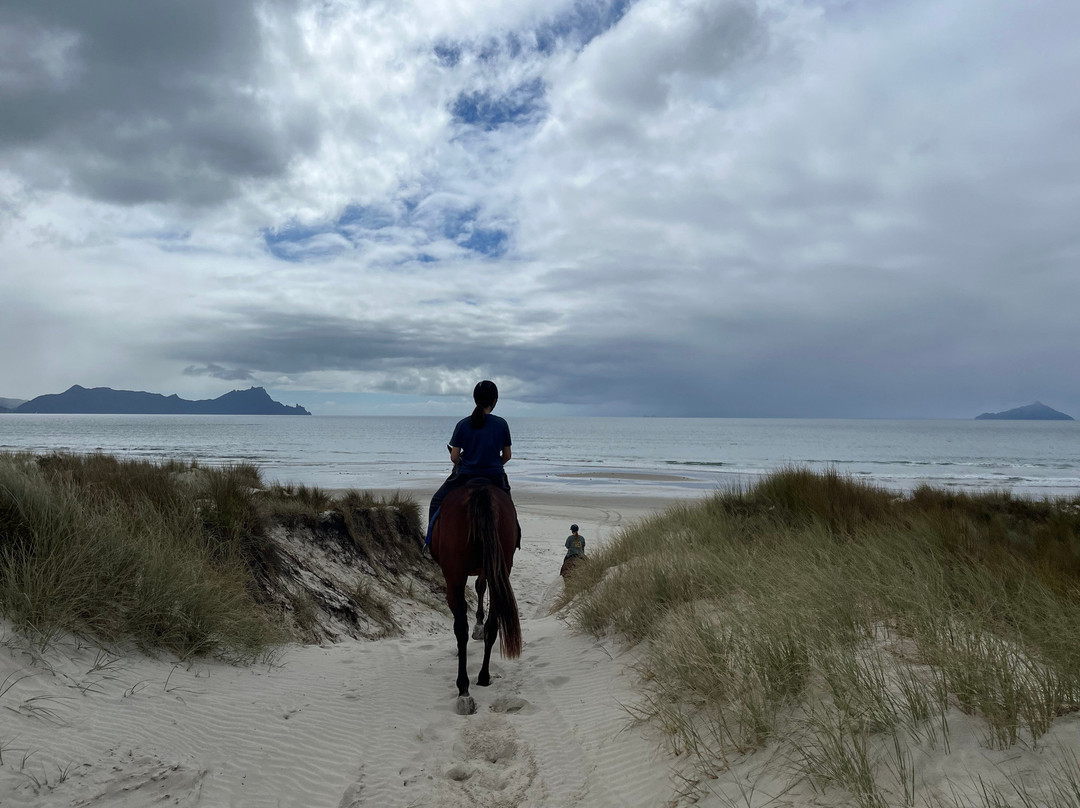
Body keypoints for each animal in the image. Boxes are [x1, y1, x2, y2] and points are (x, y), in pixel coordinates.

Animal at [430, 480, 521, 715]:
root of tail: (481, 490)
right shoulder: (487, 567)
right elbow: (481, 587)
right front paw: (479, 623)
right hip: (500, 567)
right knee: (493, 624)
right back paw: (483, 676)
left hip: (454, 577)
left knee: (460, 627)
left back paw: (464, 689)